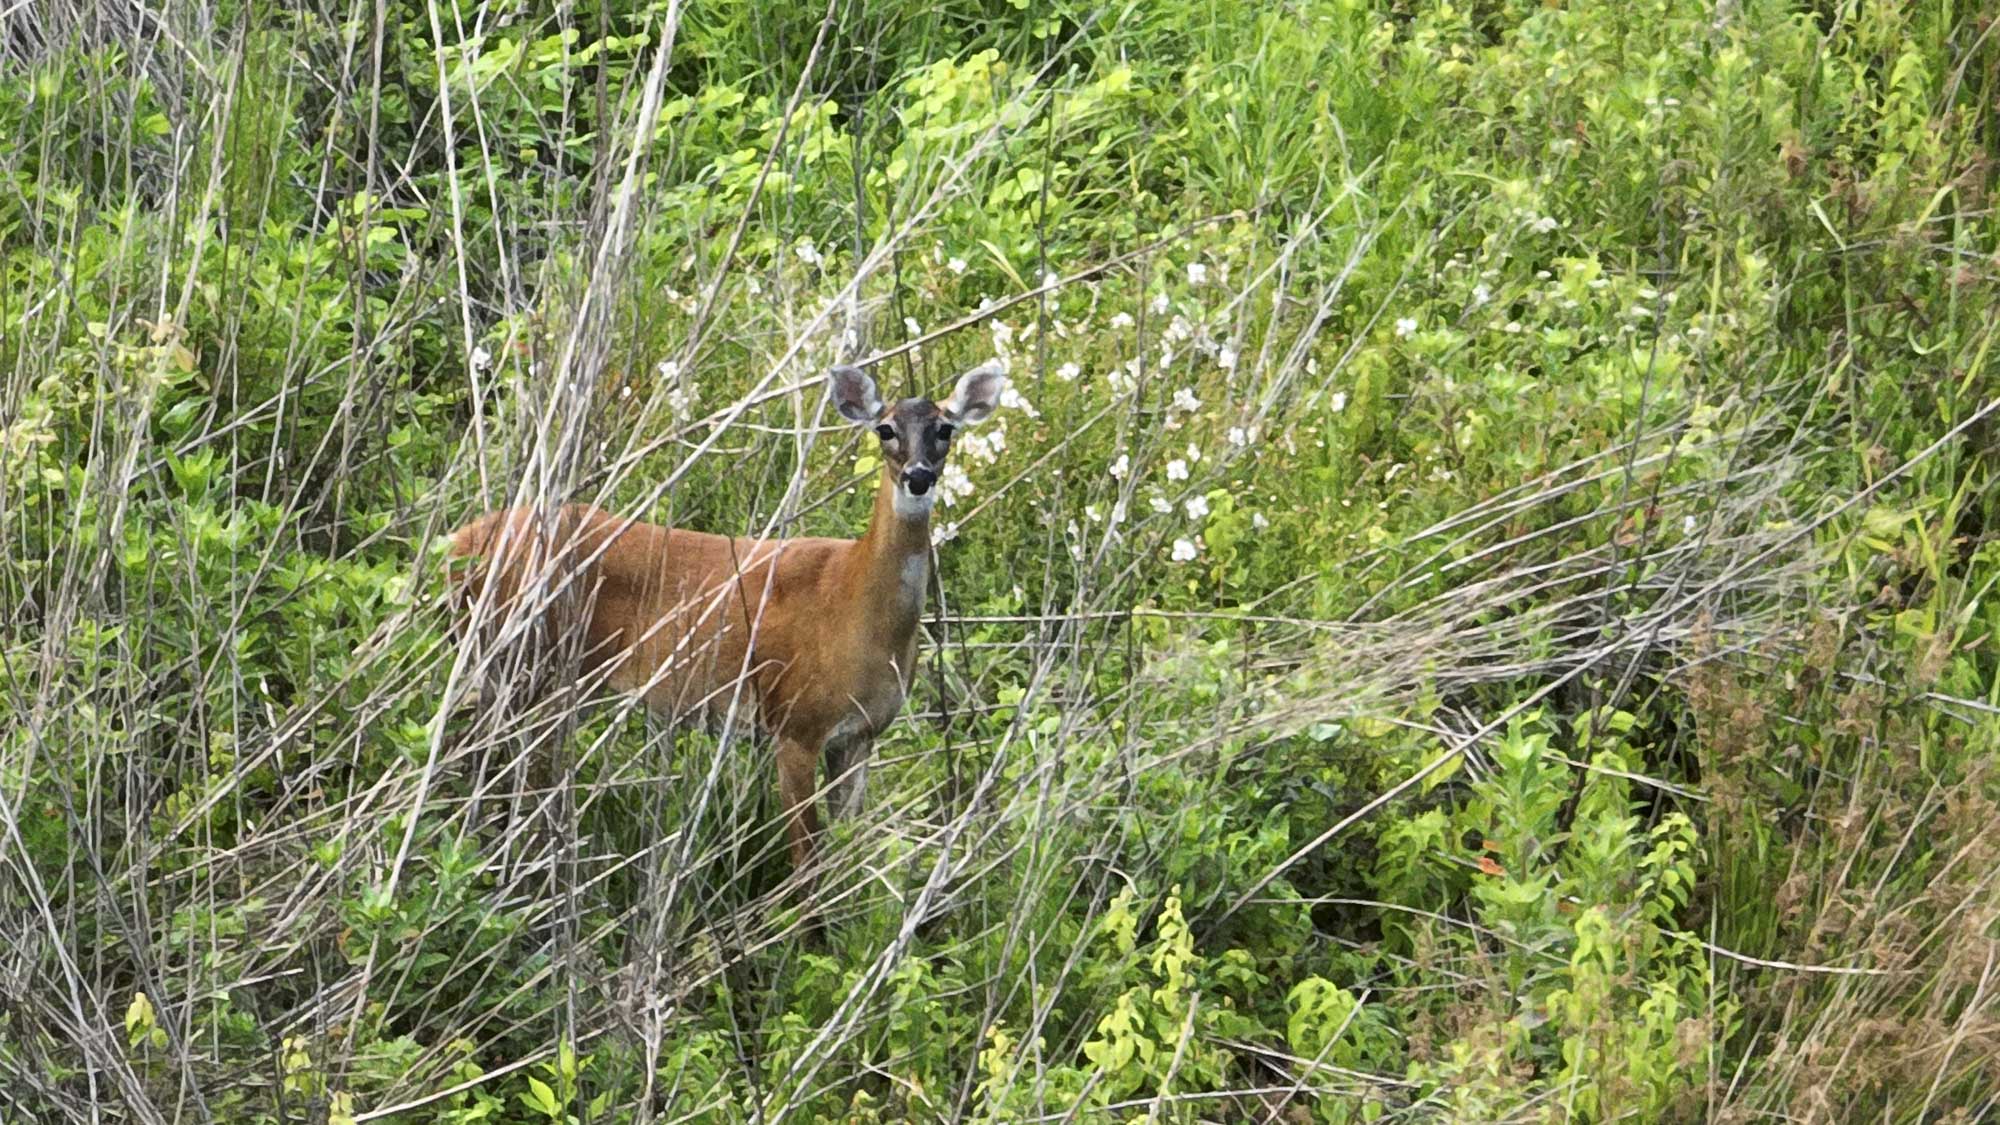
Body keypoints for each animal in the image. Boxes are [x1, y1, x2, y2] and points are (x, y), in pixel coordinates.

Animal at [438, 358, 1000, 876]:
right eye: (885, 428)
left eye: (945, 428)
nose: (918, 477)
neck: (859, 614)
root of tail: (460, 542)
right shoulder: (794, 723)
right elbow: (808, 863)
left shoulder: (860, 736)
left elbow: (848, 853)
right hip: (519, 658)